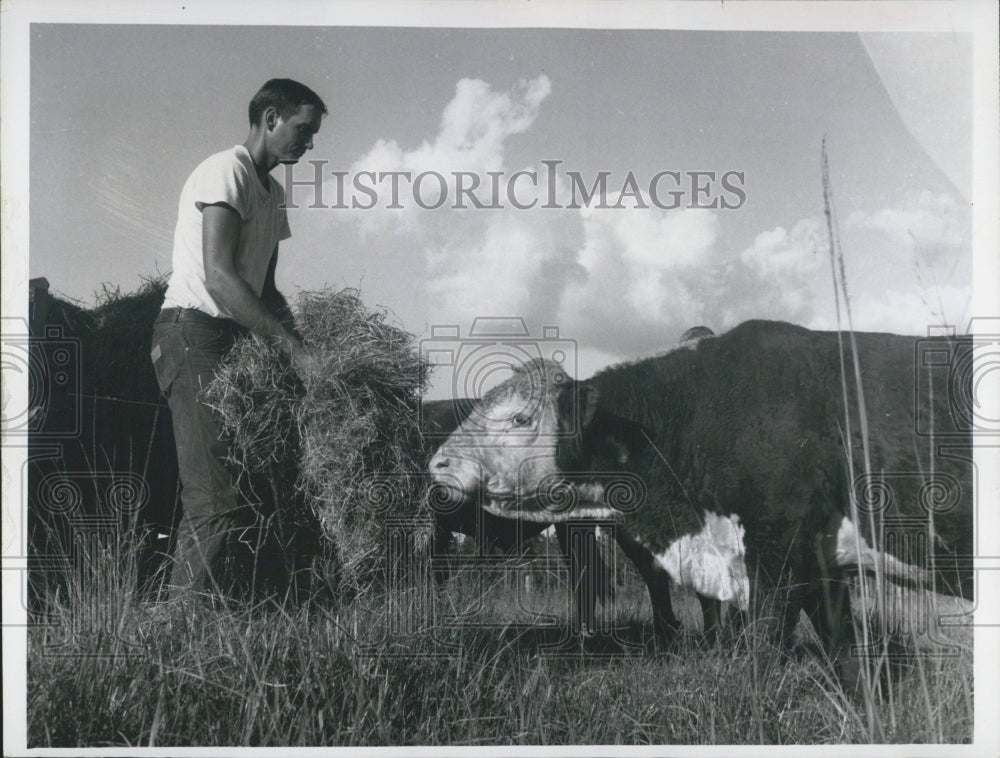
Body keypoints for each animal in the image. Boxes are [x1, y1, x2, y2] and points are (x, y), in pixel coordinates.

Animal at [428, 324, 968, 668]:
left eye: (521, 418)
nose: (439, 463)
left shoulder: (777, 553)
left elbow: (763, 646)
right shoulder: (819, 562)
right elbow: (845, 652)